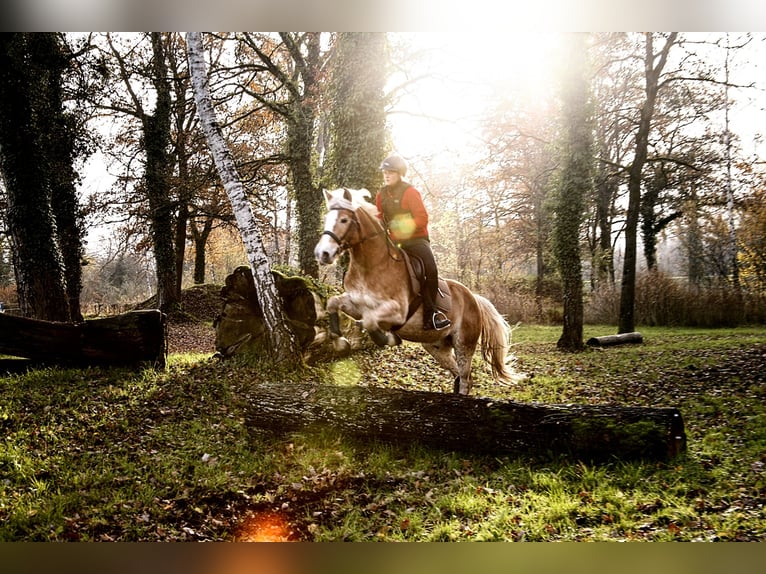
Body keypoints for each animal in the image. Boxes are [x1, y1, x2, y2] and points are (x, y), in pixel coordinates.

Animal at [313, 187, 516, 395]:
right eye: (326, 218)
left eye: (344, 220)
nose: (323, 254)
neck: (372, 265)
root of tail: (473, 298)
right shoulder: (356, 304)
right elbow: (334, 302)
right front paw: (340, 342)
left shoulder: (397, 312)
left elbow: (370, 320)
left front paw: (387, 338)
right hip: (436, 346)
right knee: (457, 375)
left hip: (464, 344)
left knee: (466, 379)